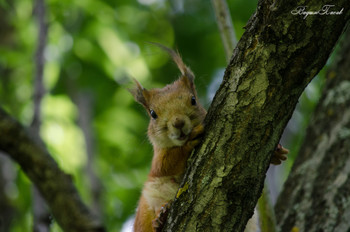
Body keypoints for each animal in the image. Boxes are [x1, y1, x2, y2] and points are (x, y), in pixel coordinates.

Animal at [130, 44, 288, 231]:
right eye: (153, 114)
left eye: (193, 100)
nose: (178, 123)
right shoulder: (157, 162)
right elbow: (164, 166)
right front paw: (189, 142)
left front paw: (277, 152)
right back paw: (160, 219)